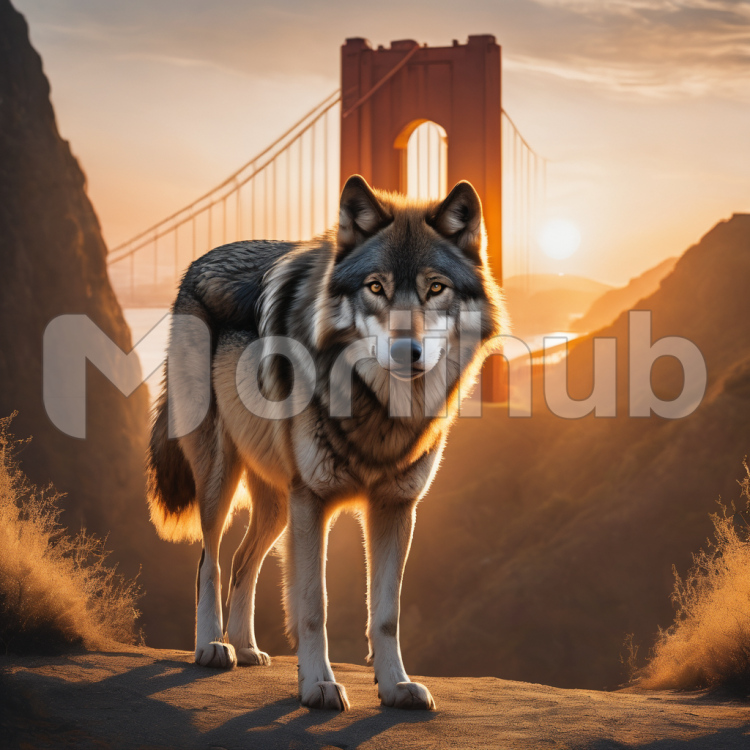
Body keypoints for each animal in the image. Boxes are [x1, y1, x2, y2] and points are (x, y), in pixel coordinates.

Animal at [146, 175, 505, 711]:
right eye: (376, 287)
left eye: (435, 288)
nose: (407, 351)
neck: (377, 411)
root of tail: (196, 263)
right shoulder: (313, 501)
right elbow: (313, 605)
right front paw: (317, 684)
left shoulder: (394, 506)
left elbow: (386, 614)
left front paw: (396, 686)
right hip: (221, 478)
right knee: (210, 560)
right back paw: (212, 646)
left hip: (278, 503)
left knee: (242, 561)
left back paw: (246, 647)